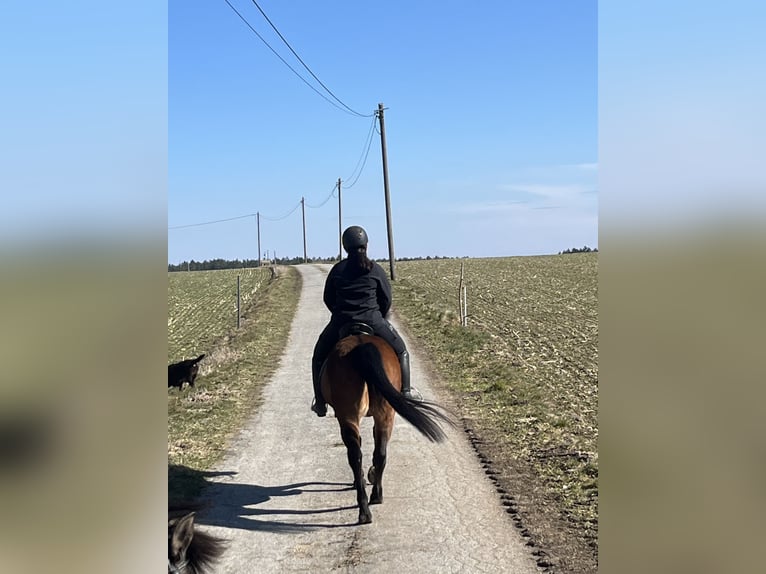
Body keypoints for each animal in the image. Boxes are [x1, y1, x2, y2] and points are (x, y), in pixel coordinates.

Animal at [320, 324, 454, 524]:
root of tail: (362, 345)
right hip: (379, 415)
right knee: (375, 454)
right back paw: (372, 501)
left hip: (354, 415)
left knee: (361, 454)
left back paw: (367, 503)